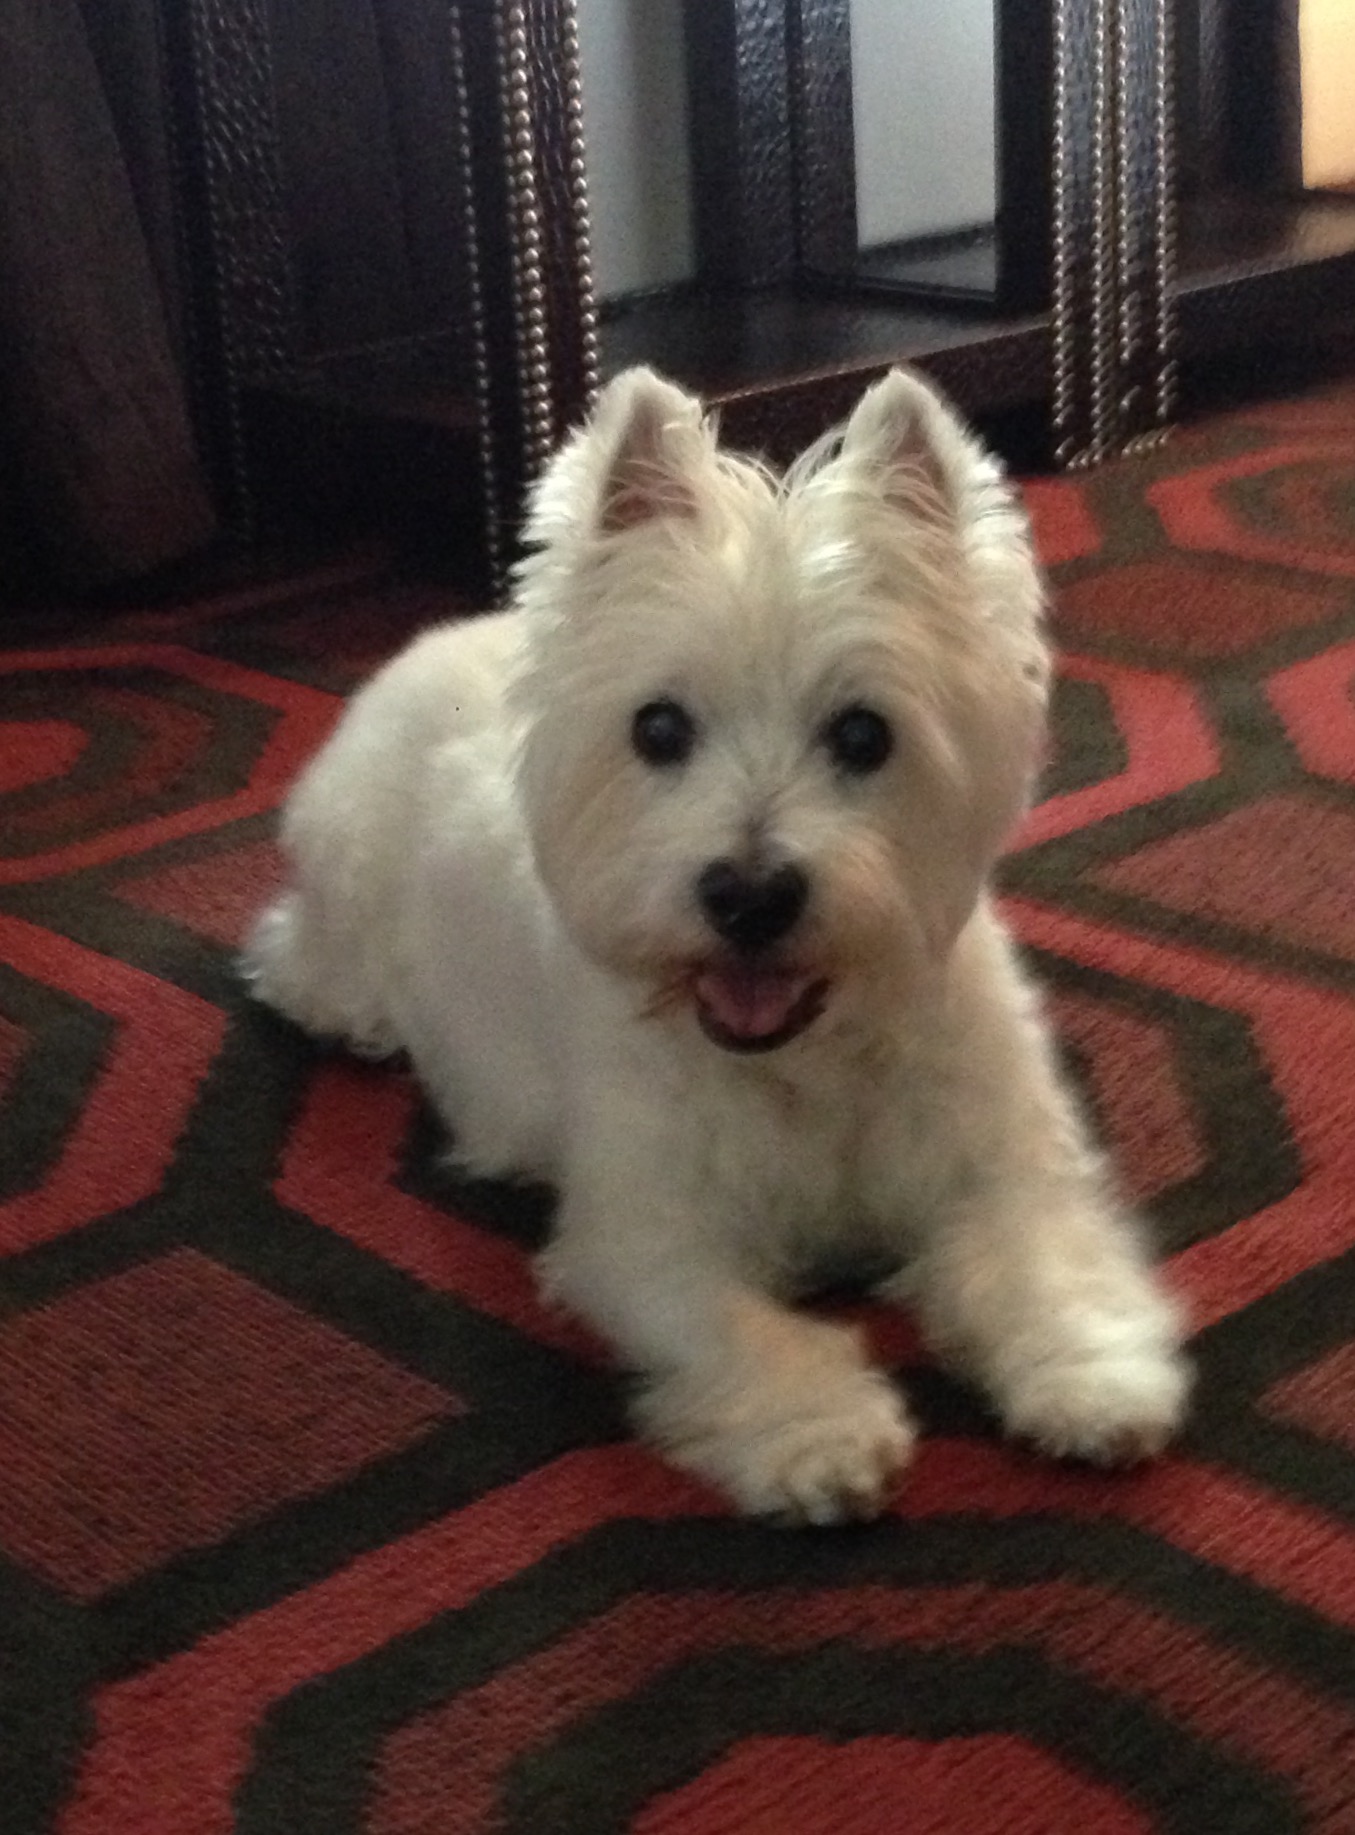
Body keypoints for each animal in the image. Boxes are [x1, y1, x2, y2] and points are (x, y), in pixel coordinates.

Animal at [242, 365, 1182, 1526]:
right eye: (657, 728)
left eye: (863, 734)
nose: (748, 895)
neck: (807, 1052)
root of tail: (435, 639)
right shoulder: (645, 1231)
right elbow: (736, 1326)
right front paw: (819, 1434)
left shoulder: (998, 1160)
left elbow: (1040, 1258)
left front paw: (1092, 1374)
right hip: (343, 879)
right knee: (296, 952)